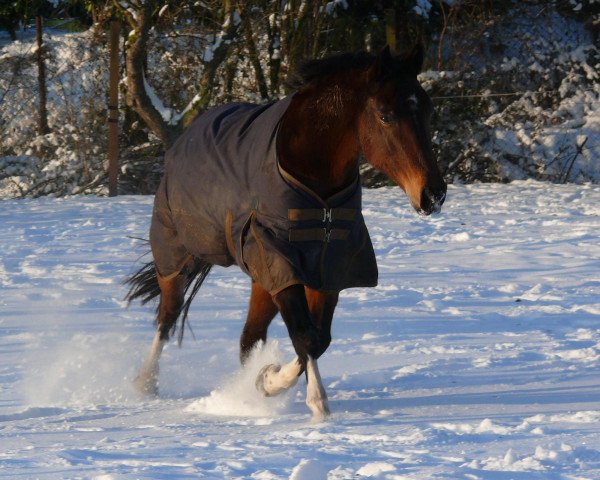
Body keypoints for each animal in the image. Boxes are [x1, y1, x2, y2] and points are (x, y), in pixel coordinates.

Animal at [125, 45, 446, 420]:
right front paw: (313, 400)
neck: (316, 186)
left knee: (248, 339)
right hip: (178, 255)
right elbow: (306, 336)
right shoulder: (280, 262)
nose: (433, 194)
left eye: (428, 110)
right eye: (385, 116)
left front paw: (267, 380)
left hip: (260, 279)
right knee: (168, 316)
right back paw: (146, 383)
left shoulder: (327, 269)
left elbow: (318, 339)